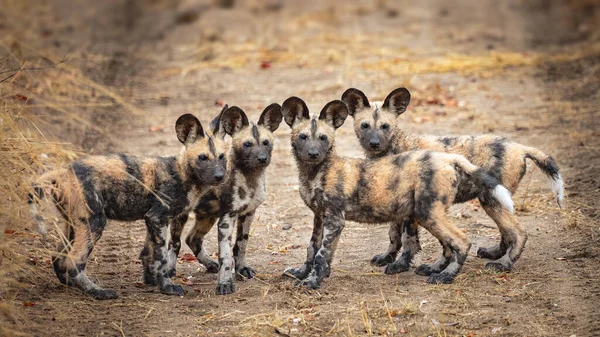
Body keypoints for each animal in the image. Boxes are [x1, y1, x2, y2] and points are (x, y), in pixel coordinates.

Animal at [25, 111, 229, 298]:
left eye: (222, 157)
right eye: (202, 157)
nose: (220, 176)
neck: (182, 173)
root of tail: (62, 171)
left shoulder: (153, 220)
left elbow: (148, 254)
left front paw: (151, 280)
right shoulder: (158, 218)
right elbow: (161, 257)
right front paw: (167, 286)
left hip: (74, 225)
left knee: (59, 256)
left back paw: (69, 283)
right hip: (94, 223)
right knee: (73, 261)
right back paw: (97, 291)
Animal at [169, 103, 282, 292]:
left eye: (266, 143)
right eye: (247, 144)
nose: (262, 158)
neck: (250, 179)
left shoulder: (248, 213)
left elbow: (241, 245)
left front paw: (242, 269)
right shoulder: (227, 219)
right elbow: (226, 256)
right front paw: (225, 283)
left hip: (208, 216)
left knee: (192, 239)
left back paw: (209, 264)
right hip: (183, 216)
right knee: (174, 243)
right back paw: (168, 272)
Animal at [282, 96, 516, 286]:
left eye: (323, 138)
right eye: (303, 137)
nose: (313, 154)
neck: (315, 173)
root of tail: (447, 158)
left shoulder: (335, 220)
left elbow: (322, 254)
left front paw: (313, 282)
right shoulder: (319, 217)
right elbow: (312, 249)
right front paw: (302, 272)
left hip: (428, 213)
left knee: (462, 241)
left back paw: (445, 276)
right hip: (431, 214)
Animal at [340, 86, 564, 270]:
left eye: (385, 126)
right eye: (365, 125)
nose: (374, 143)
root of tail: (519, 147)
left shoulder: (411, 211)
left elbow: (408, 240)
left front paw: (400, 265)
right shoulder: (396, 204)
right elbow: (394, 236)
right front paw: (387, 257)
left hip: (490, 200)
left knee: (518, 233)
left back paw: (503, 264)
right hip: (495, 200)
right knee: (506, 231)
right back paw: (494, 254)